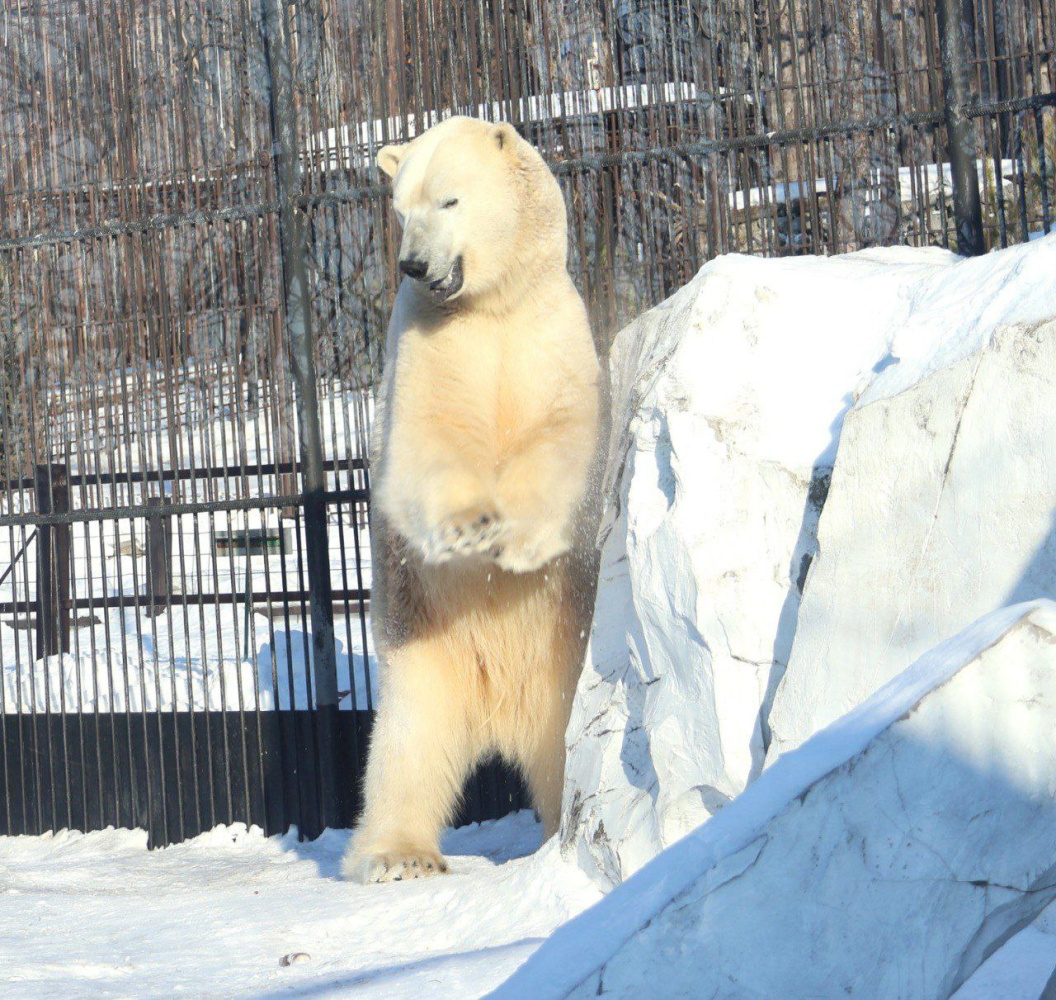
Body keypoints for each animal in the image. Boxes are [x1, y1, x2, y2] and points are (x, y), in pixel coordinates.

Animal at [346, 117, 604, 882]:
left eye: (450, 200)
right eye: (401, 209)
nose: (413, 264)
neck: (488, 306)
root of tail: (495, 719)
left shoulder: (550, 330)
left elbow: (561, 434)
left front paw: (517, 542)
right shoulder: (426, 342)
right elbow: (426, 440)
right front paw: (469, 529)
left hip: (560, 668)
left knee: (557, 752)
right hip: (422, 653)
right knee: (406, 750)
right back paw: (398, 856)